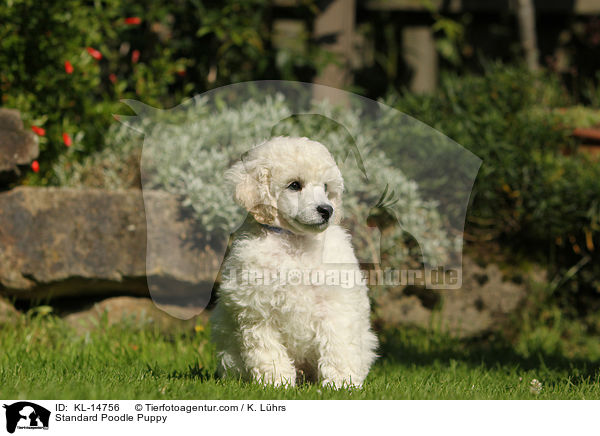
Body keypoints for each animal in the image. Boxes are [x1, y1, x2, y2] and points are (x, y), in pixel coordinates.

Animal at [210, 136, 376, 388]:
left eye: (325, 188)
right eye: (295, 185)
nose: (327, 210)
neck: (296, 241)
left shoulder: (335, 304)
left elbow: (338, 344)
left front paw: (341, 383)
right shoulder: (257, 309)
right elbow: (267, 350)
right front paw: (277, 382)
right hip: (230, 354)